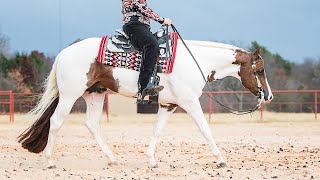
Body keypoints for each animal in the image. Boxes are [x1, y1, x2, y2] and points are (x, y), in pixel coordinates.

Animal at [17, 35, 272, 169]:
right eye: (259, 70)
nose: (268, 96)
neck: (196, 61)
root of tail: (63, 53)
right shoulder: (190, 102)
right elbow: (205, 129)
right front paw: (221, 160)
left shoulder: (168, 105)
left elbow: (157, 131)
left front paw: (151, 160)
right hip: (70, 95)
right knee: (56, 122)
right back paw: (50, 161)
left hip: (95, 94)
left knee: (92, 124)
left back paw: (112, 158)